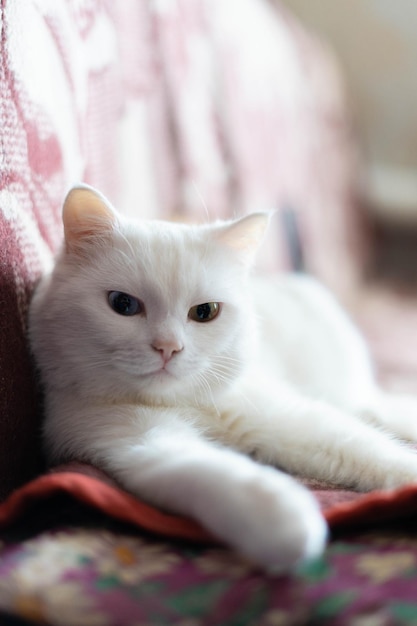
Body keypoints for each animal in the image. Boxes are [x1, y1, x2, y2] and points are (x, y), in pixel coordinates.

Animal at [30, 184, 417, 572]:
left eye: (205, 312)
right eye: (122, 304)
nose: (168, 347)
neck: (183, 402)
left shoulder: (291, 418)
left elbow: (366, 449)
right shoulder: (140, 443)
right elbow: (208, 472)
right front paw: (280, 520)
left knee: (371, 412)